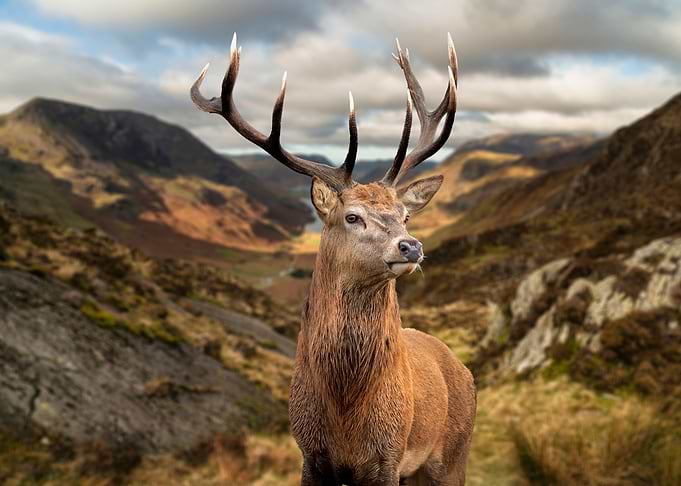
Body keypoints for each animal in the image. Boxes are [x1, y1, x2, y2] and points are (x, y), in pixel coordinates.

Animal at [191, 33, 476, 486]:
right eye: (352, 216)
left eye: (405, 215)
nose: (410, 246)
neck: (344, 413)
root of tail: (463, 369)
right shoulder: (310, 453)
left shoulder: (388, 458)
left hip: (452, 455)